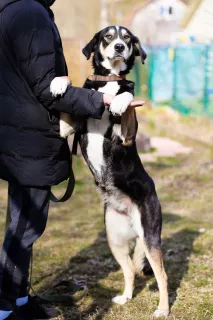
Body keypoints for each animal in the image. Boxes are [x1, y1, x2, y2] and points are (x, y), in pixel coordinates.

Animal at [50, 26, 170, 318]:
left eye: (127, 38)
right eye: (107, 36)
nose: (118, 47)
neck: (109, 80)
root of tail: (131, 217)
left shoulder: (126, 135)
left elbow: (126, 100)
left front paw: (119, 101)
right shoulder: (67, 129)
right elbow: (69, 89)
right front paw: (59, 82)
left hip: (150, 236)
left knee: (161, 275)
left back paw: (162, 309)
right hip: (113, 238)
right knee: (129, 271)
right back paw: (125, 297)